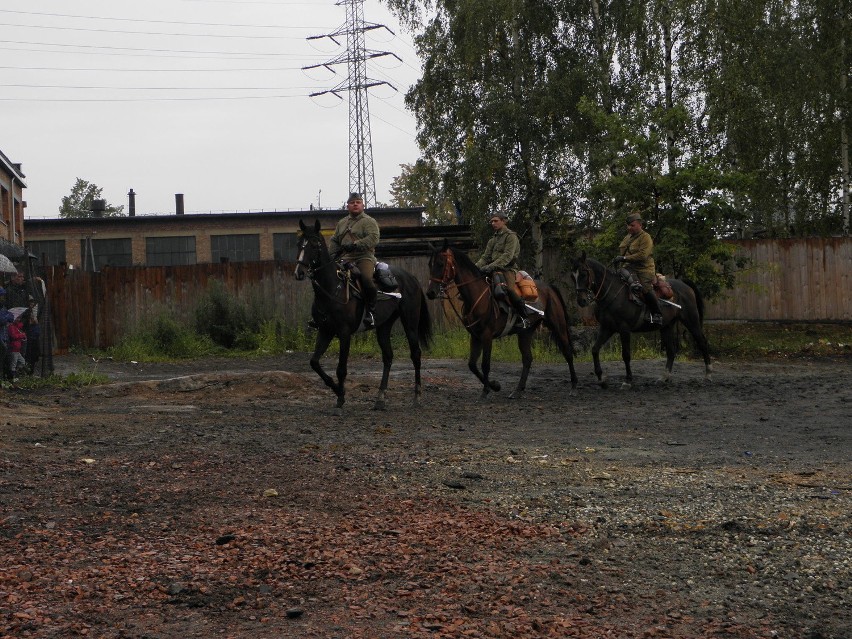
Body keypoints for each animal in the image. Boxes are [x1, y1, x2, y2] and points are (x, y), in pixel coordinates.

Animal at [296, 219, 436, 410]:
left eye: (314, 244)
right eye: (299, 244)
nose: (299, 272)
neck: (332, 289)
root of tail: (411, 278)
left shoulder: (344, 333)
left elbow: (341, 369)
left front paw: (341, 397)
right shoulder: (325, 331)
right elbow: (314, 362)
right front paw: (336, 389)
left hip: (410, 324)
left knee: (415, 355)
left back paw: (417, 397)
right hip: (384, 326)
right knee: (388, 357)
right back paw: (380, 398)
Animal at [426, 241, 580, 400]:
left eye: (440, 263)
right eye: (430, 264)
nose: (430, 292)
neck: (477, 296)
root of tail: (549, 287)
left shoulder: (487, 336)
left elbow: (485, 364)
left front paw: (486, 390)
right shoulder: (475, 336)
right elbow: (472, 365)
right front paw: (495, 386)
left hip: (558, 325)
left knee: (567, 352)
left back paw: (574, 387)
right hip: (525, 333)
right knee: (527, 359)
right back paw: (518, 390)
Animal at [572, 252, 712, 388]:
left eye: (583, 274)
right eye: (573, 276)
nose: (581, 300)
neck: (612, 292)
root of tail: (683, 284)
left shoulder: (624, 329)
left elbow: (626, 354)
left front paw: (628, 380)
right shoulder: (607, 328)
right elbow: (595, 349)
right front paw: (601, 379)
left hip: (691, 321)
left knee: (702, 343)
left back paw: (708, 374)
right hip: (666, 326)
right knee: (671, 351)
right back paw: (664, 377)